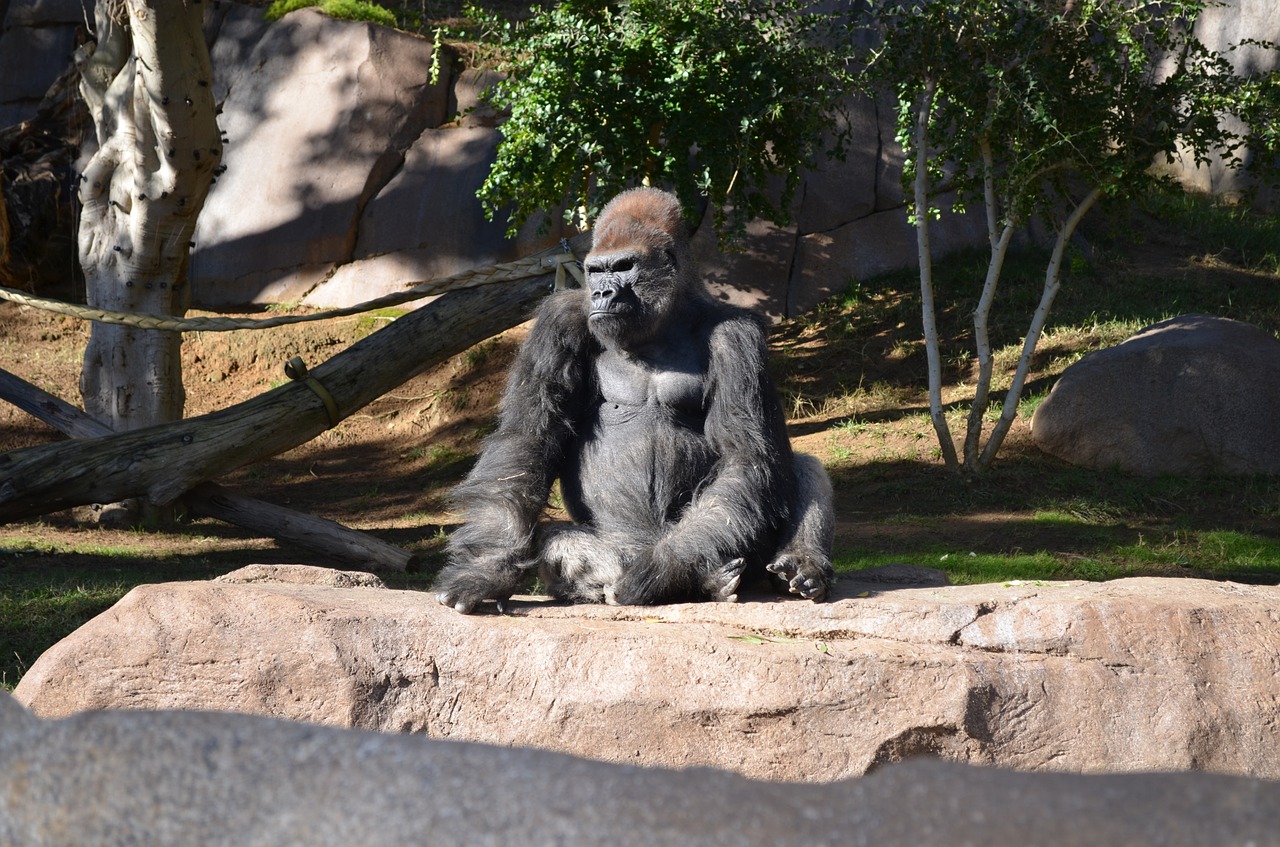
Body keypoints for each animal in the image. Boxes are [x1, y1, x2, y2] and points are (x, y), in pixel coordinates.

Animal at [437, 185, 839, 614]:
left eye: (625, 266)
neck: (664, 321)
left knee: (791, 469)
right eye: (596, 271)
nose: (601, 292)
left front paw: (662, 571)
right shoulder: (558, 321)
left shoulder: (736, 335)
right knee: (559, 542)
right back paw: (701, 580)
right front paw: (485, 568)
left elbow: (745, 456)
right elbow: (526, 440)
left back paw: (797, 566)